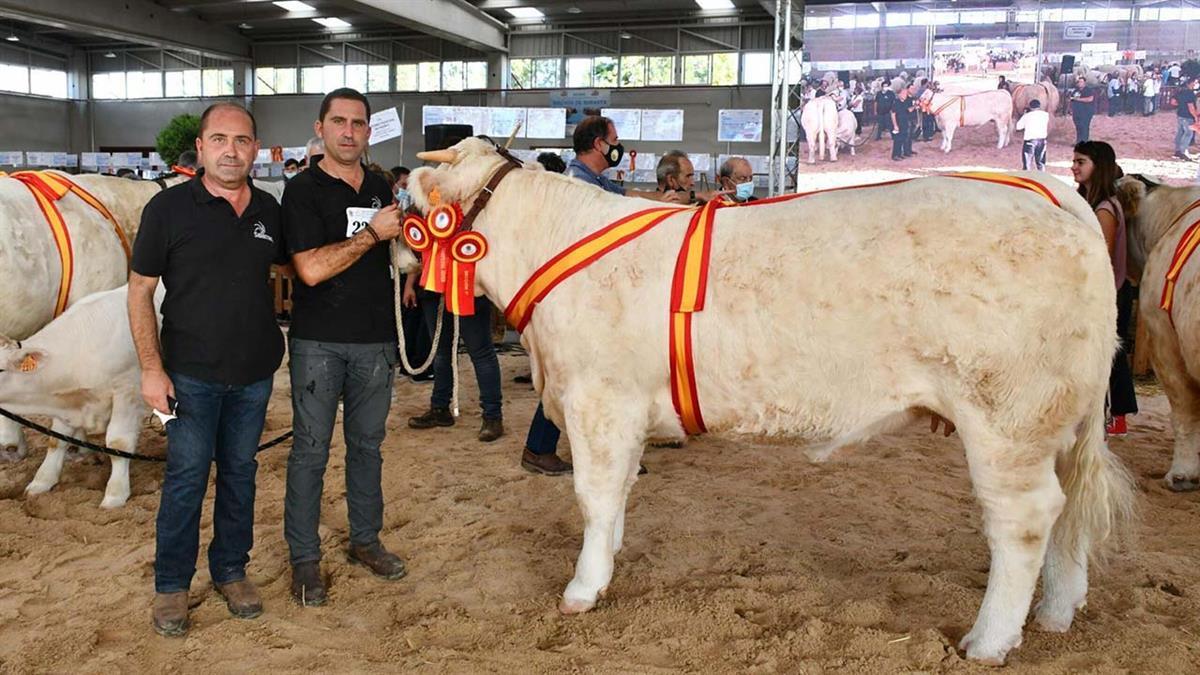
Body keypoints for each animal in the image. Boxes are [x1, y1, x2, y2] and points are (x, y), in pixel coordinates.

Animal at [0, 284, 161, 508]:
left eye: (0, 369)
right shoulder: (67, 402)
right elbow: (56, 440)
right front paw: (41, 482)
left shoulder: (127, 391)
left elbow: (118, 443)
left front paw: (115, 495)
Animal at [407, 138, 1136, 665]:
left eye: (415, 215)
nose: (402, 260)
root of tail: (1050, 195)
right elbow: (614, 499)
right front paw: (606, 563)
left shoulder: (598, 399)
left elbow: (593, 495)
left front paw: (583, 589)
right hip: (1058, 420)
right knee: (1068, 512)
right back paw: (1057, 611)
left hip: (1008, 415)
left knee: (1024, 520)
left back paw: (989, 641)